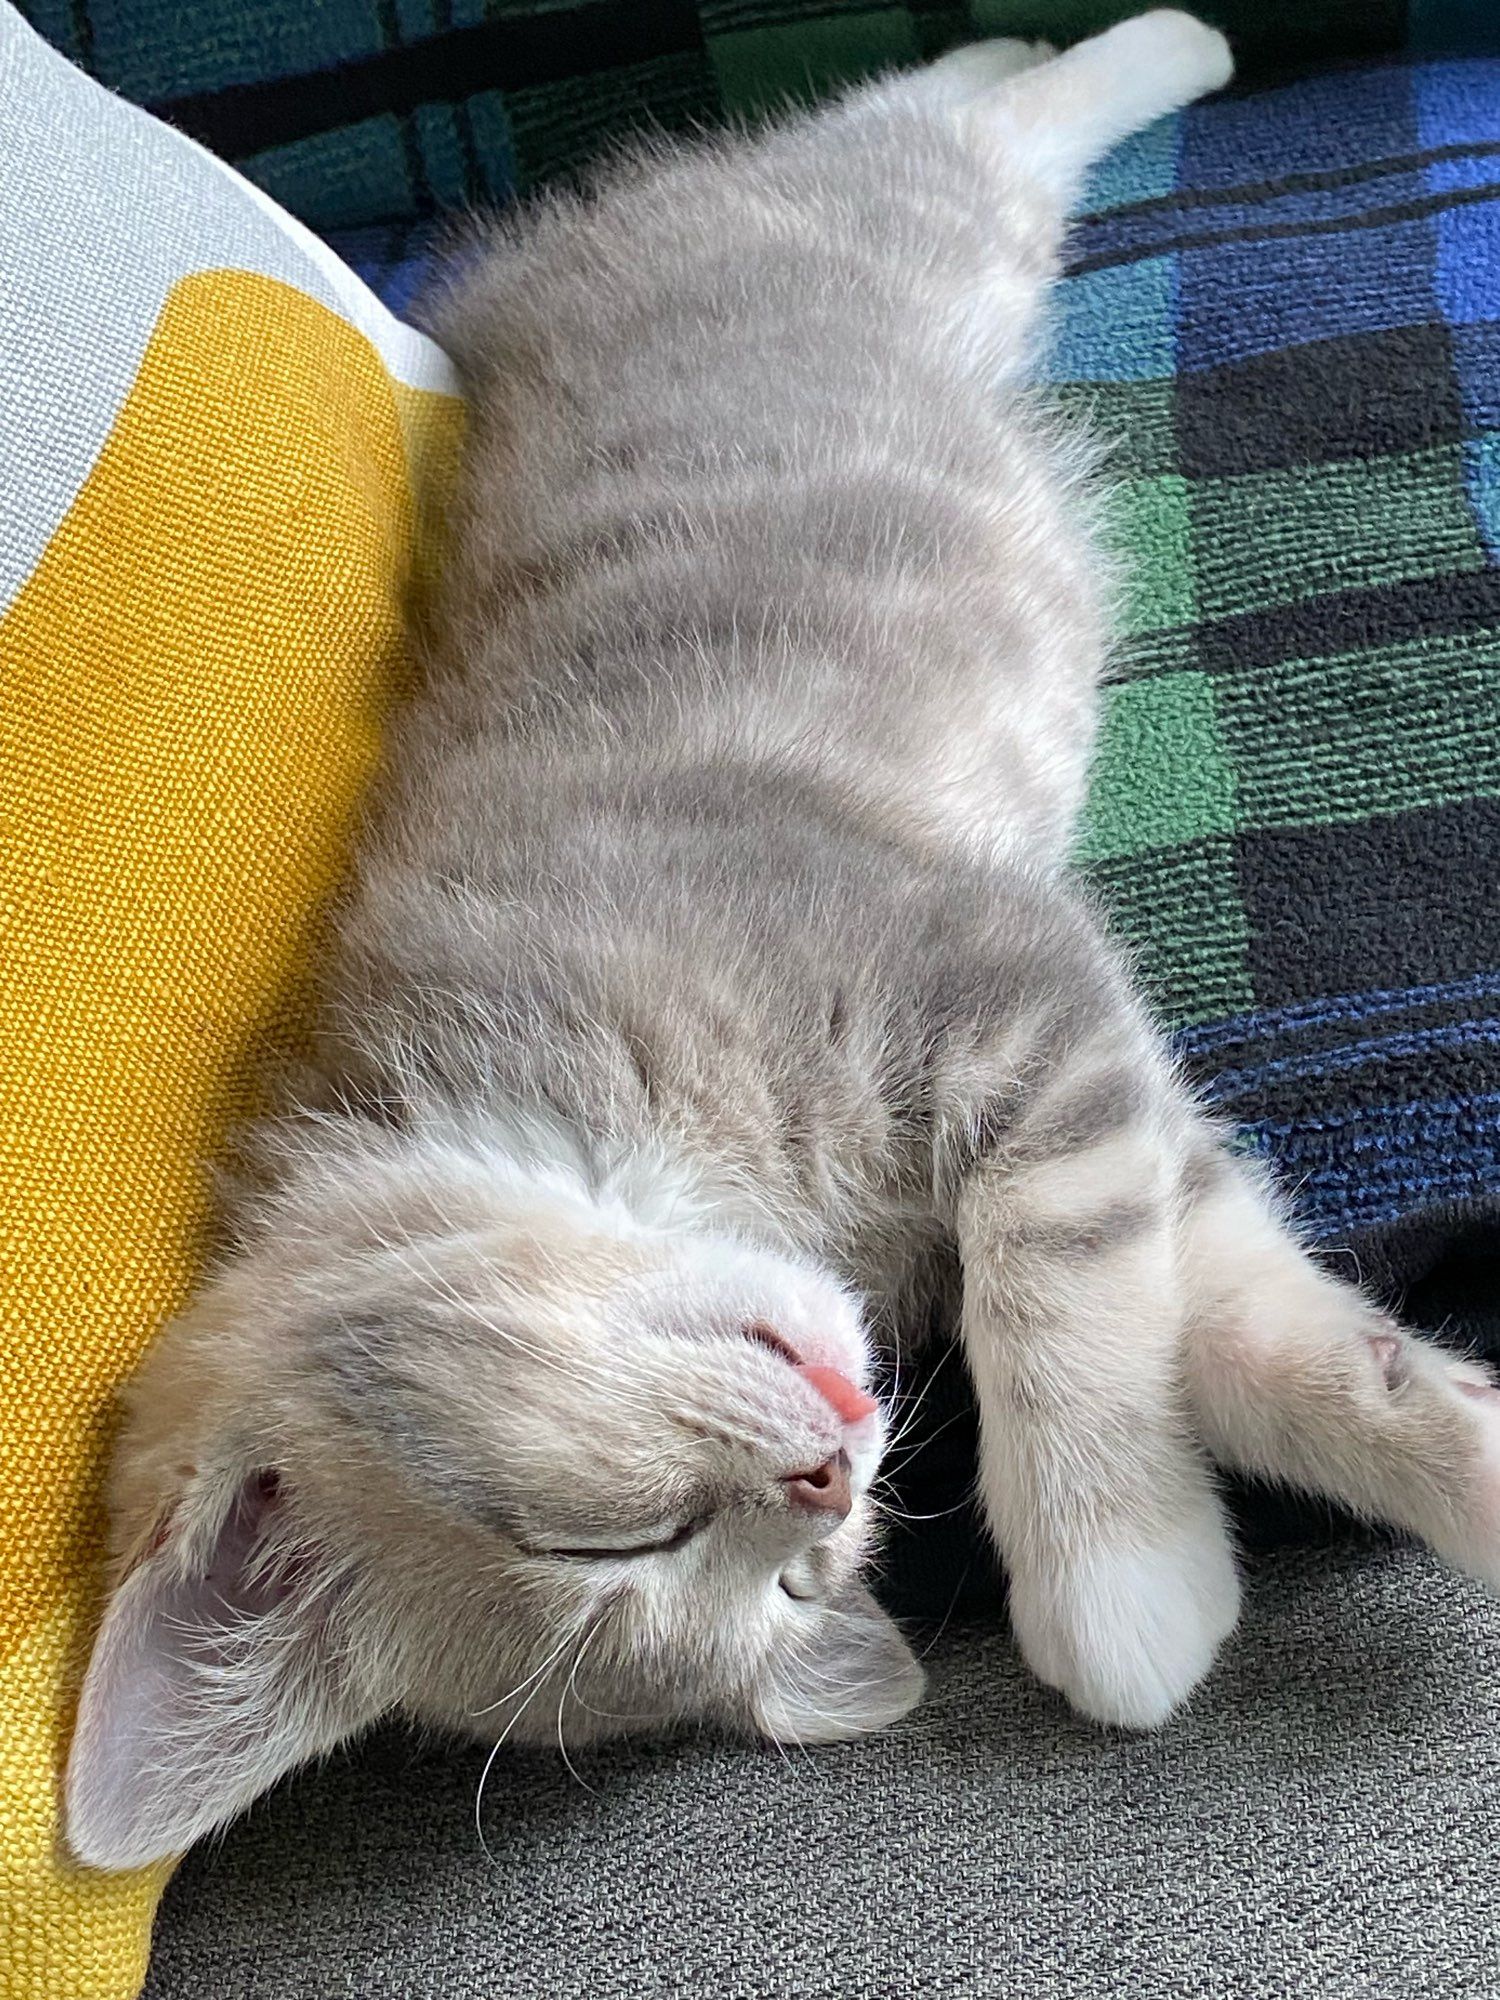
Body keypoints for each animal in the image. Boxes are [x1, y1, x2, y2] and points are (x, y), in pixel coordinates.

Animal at [70, 11, 1500, 1872]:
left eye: (589, 1538)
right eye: (780, 1575)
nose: (834, 1466)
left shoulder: (994, 978)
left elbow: (1061, 1299)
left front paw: (1113, 1572)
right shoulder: (1114, 1112)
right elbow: (1252, 1335)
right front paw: (1418, 1457)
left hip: (907, 220)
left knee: (964, 120)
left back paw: (1149, 47)